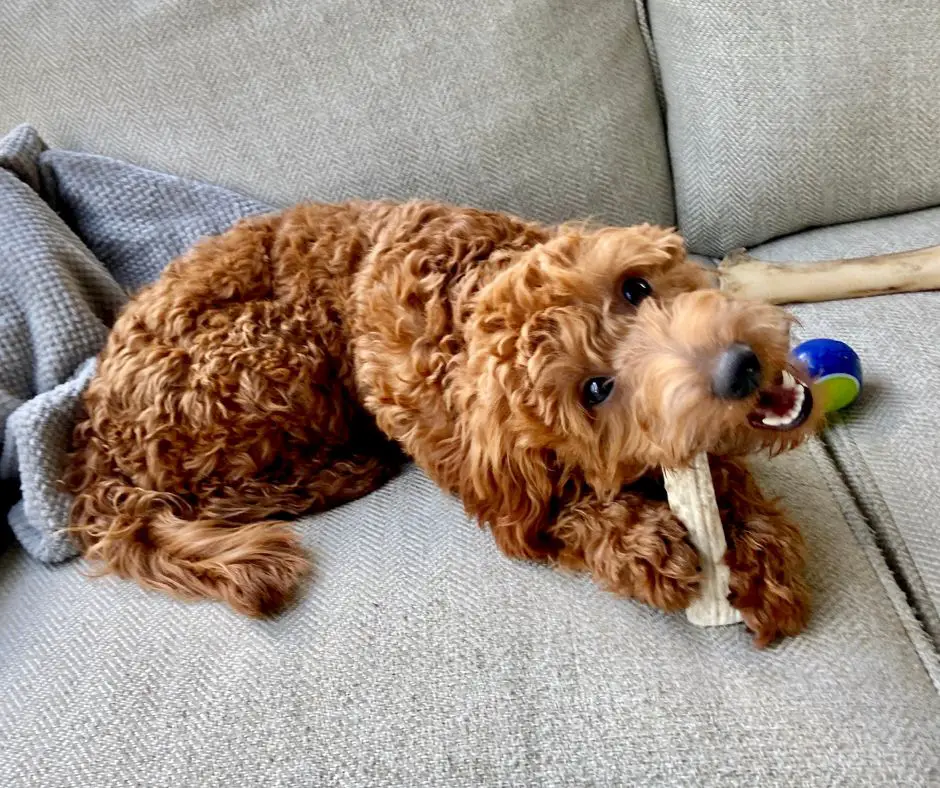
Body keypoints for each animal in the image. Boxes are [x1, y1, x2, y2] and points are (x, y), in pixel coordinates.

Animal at [66, 200, 820, 644]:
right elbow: (558, 514)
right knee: (236, 489)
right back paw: (349, 465)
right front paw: (638, 544)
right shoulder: (500, 489)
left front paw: (760, 552)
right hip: (274, 355)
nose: (739, 368)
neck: (468, 294)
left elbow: (716, 469)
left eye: (635, 287)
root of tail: (95, 440)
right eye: (595, 389)